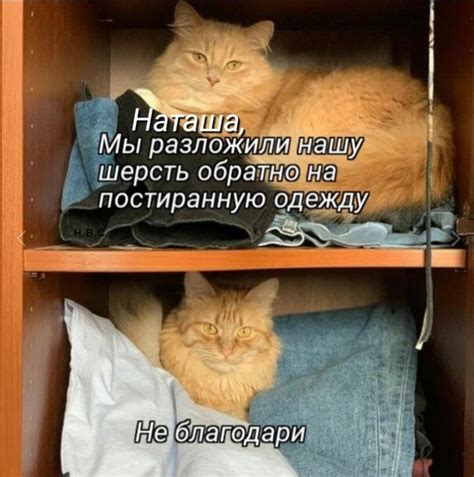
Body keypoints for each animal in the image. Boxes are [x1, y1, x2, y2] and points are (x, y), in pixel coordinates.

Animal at [145, 0, 456, 231]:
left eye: (233, 65)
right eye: (199, 58)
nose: (213, 79)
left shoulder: (229, 130)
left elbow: (176, 113)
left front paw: (148, 96)